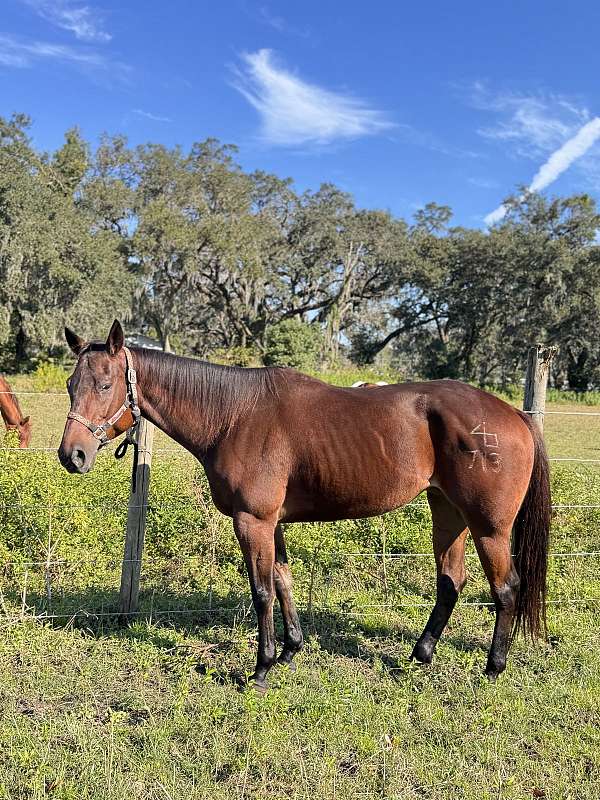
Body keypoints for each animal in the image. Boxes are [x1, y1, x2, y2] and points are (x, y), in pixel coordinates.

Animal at [58, 322, 552, 692]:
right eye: (69, 385)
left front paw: (261, 668)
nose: (72, 455)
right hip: (447, 513)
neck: (234, 414)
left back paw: (492, 668)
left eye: (105, 384)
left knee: (506, 588)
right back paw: (419, 655)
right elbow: (283, 581)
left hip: (489, 527)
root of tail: (514, 414)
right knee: (450, 583)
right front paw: (290, 651)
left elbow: (261, 592)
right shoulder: (271, 523)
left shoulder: (252, 521)